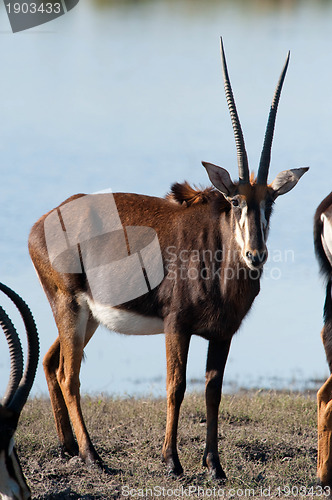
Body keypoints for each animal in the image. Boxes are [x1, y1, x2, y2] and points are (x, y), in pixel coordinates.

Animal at [28, 40, 308, 480]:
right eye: (235, 201)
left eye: (271, 202)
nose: (256, 254)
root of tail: (42, 222)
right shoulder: (177, 326)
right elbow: (175, 387)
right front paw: (172, 462)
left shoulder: (222, 334)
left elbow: (213, 391)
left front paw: (214, 466)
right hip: (68, 305)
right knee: (69, 375)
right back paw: (93, 457)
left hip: (88, 318)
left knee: (52, 361)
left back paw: (68, 447)